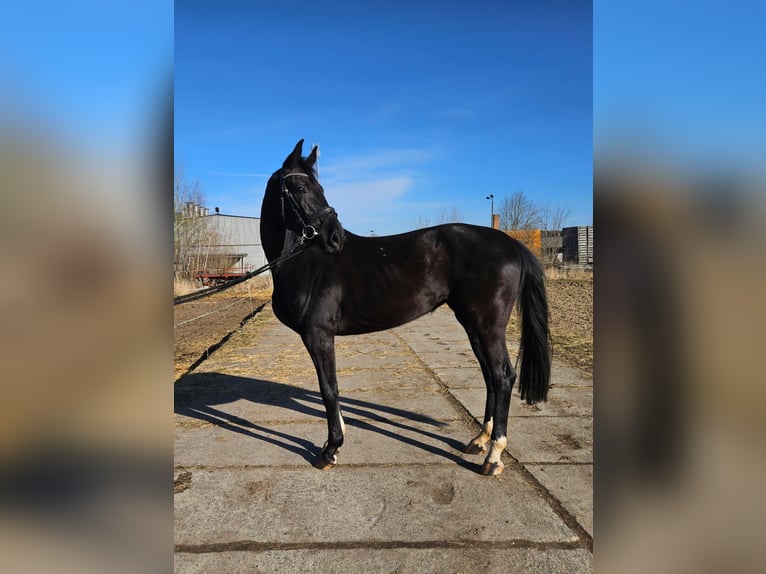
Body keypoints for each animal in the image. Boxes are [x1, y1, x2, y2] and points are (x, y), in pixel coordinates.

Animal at [259, 139, 551, 476]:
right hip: (473, 323)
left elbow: (328, 389)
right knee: (490, 375)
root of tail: (512, 244)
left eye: (318, 187)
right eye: (300, 186)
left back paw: (493, 457)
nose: (336, 238)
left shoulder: (318, 335)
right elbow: (331, 389)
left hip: (488, 324)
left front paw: (330, 450)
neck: (304, 262)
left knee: (502, 376)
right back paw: (479, 441)